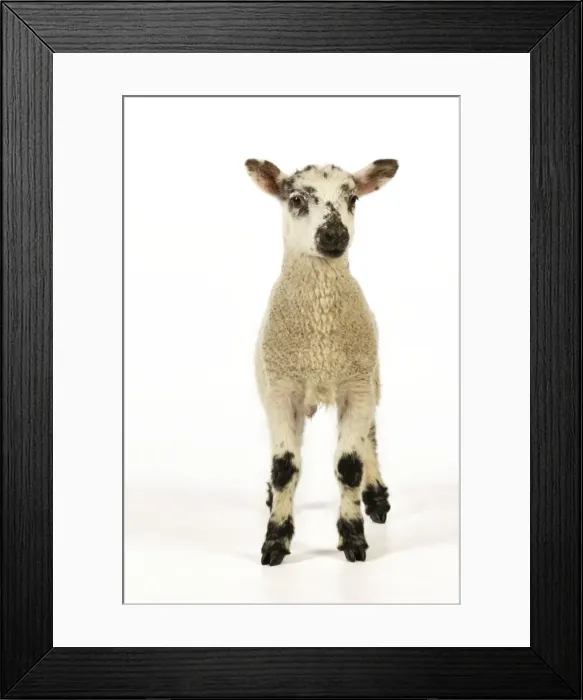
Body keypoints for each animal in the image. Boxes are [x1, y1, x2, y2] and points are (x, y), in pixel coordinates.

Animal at [245, 159, 399, 565]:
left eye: (353, 199)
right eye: (296, 199)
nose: (334, 234)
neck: (320, 344)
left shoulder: (356, 386)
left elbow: (349, 465)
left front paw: (354, 538)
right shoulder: (281, 390)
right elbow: (285, 467)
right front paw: (276, 541)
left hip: (372, 377)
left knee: (370, 437)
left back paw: (376, 498)